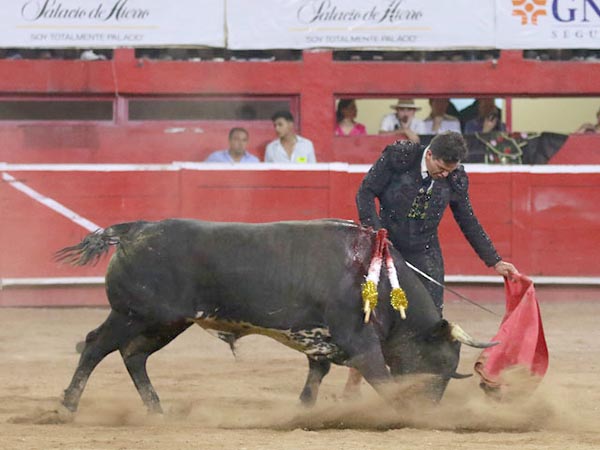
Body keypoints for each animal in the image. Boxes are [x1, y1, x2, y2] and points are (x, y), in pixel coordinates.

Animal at [57, 219, 496, 414]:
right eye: (439, 364)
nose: (429, 409)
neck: (383, 284)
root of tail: (135, 230)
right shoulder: (360, 342)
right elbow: (383, 381)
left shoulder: (324, 343)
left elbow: (315, 376)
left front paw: (303, 411)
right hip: (132, 314)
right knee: (96, 346)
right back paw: (69, 406)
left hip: (164, 322)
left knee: (133, 355)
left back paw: (156, 410)